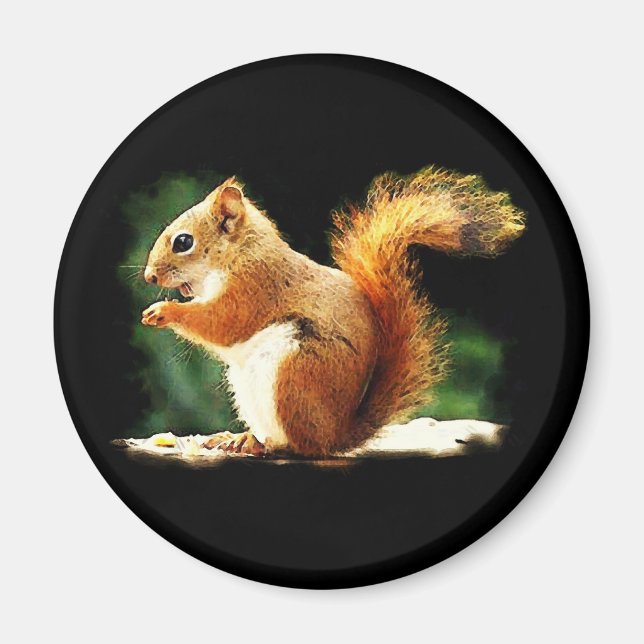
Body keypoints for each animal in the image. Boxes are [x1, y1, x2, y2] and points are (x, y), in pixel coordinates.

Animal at [141, 166, 525, 457]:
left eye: (183, 242)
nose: (149, 276)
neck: (240, 253)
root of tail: (336, 436)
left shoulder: (255, 288)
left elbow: (220, 323)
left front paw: (164, 311)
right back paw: (237, 438)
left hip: (293, 374)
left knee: (299, 446)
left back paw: (262, 443)